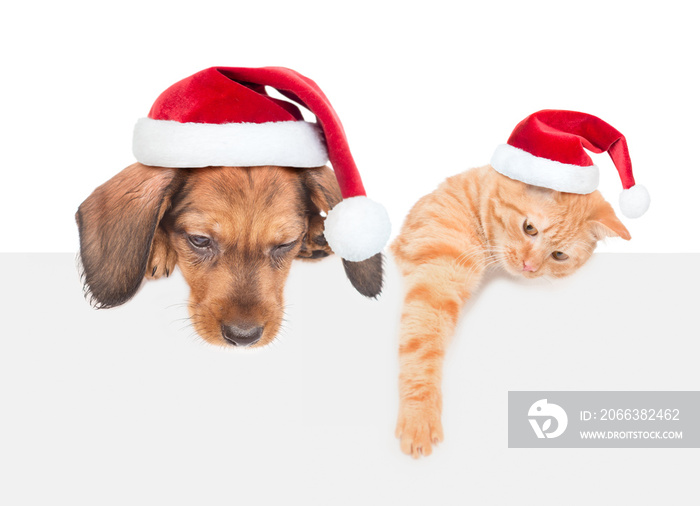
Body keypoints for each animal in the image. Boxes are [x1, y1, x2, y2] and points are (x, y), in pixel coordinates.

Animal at [392, 164, 632, 456]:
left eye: (559, 255)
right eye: (529, 228)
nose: (530, 266)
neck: (472, 202)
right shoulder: (435, 285)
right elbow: (422, 352)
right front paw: (419, 413)